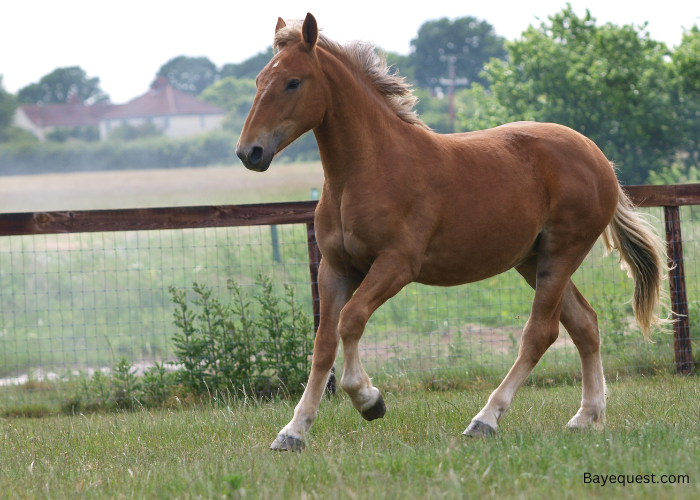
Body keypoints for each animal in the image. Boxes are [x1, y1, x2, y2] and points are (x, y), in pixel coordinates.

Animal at [235, 13, 668, 452]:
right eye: (258, 80)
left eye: (293, 82)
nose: (249, 152)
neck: (368, 170)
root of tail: (598, 157)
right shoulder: (335, 268)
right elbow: (323, 343)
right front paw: (293, 430)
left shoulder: (396, 265)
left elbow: (351, 321)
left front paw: (369, 400)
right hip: (533, 261)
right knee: (584, 324)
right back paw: (586, 416)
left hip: (561, 254)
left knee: (540, 333)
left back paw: (486, 419)